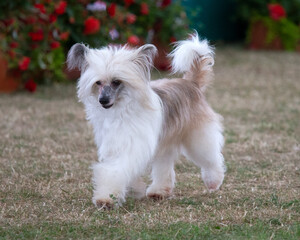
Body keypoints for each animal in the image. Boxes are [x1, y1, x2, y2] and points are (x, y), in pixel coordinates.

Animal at [67, 32, 225, 209]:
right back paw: (159, 191)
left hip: (198, 137)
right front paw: (134, 189)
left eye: (116, 81)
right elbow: (121, 170)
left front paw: (106, 198)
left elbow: (115, 171)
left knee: (211, 158)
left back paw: (213, 180)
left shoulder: (132, 147)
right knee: (164, 167)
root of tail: (191, 83)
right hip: (165, 144)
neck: (121, 110)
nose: (103, 100)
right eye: (98, 83)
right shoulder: (115, 146)